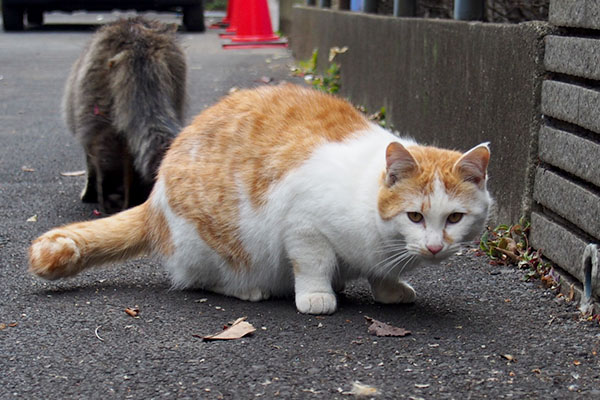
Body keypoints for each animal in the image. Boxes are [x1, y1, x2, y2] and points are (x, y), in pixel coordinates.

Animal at [27, 85, 492, 316]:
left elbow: (382, 274)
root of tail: (155, 198)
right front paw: (317, 296)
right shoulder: (304, 225)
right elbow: (313, 263)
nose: (435, 247)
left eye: (454, 218)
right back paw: (249, 289)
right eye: (414, 216)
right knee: (195, 278)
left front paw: (390, 288)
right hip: (209, 244)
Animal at [63, 17, 185, 214]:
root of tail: (136, 39)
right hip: (174, 88)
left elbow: (90, 165)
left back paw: (113, 200)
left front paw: (89, 192)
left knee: (105, 155)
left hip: (97, 107)